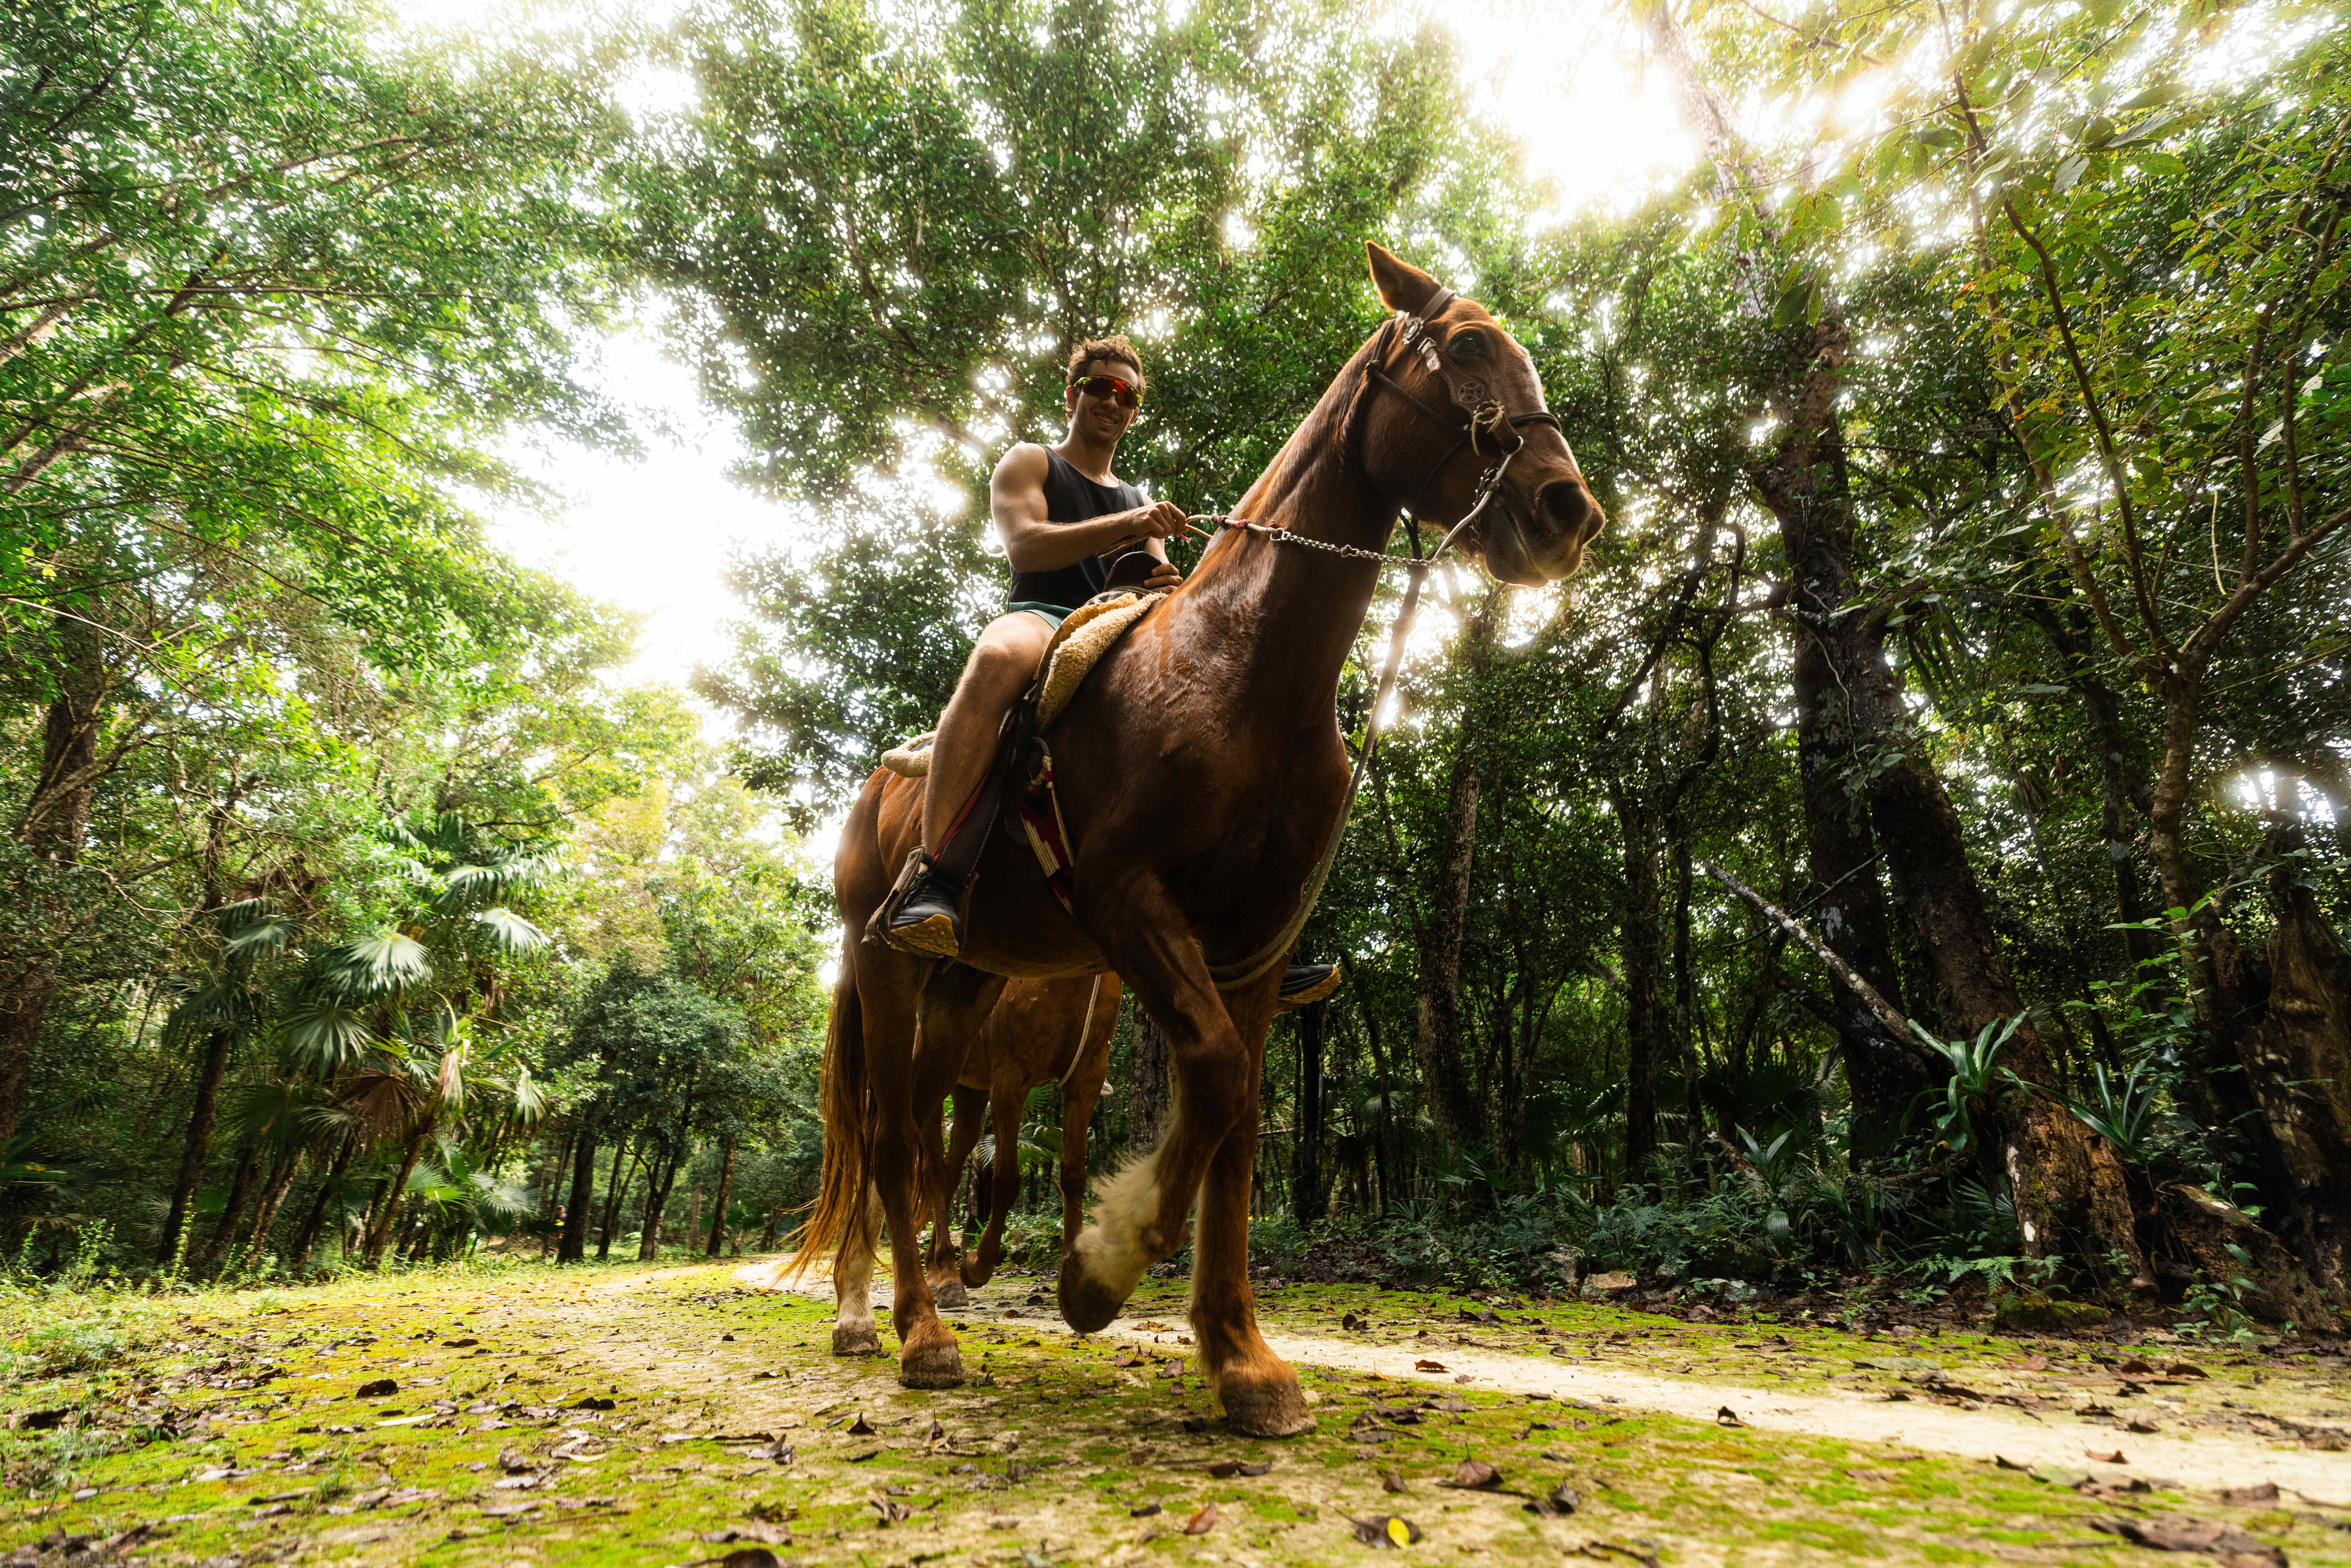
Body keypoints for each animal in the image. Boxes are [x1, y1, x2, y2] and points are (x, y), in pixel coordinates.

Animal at [798, 243, 1604, 1435]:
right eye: (1463, 349)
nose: (1566, 510)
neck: (1245, 672)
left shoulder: (1259, 942)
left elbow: (1240, 1117)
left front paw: (1241, 1357)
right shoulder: (1131, 905)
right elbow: (1215, 1081)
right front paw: (1101, 1270)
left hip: (961, 984)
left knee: (932, 1130)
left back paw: (912, 1307)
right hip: (883, 961)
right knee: (892, 1136)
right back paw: (916, 1330)